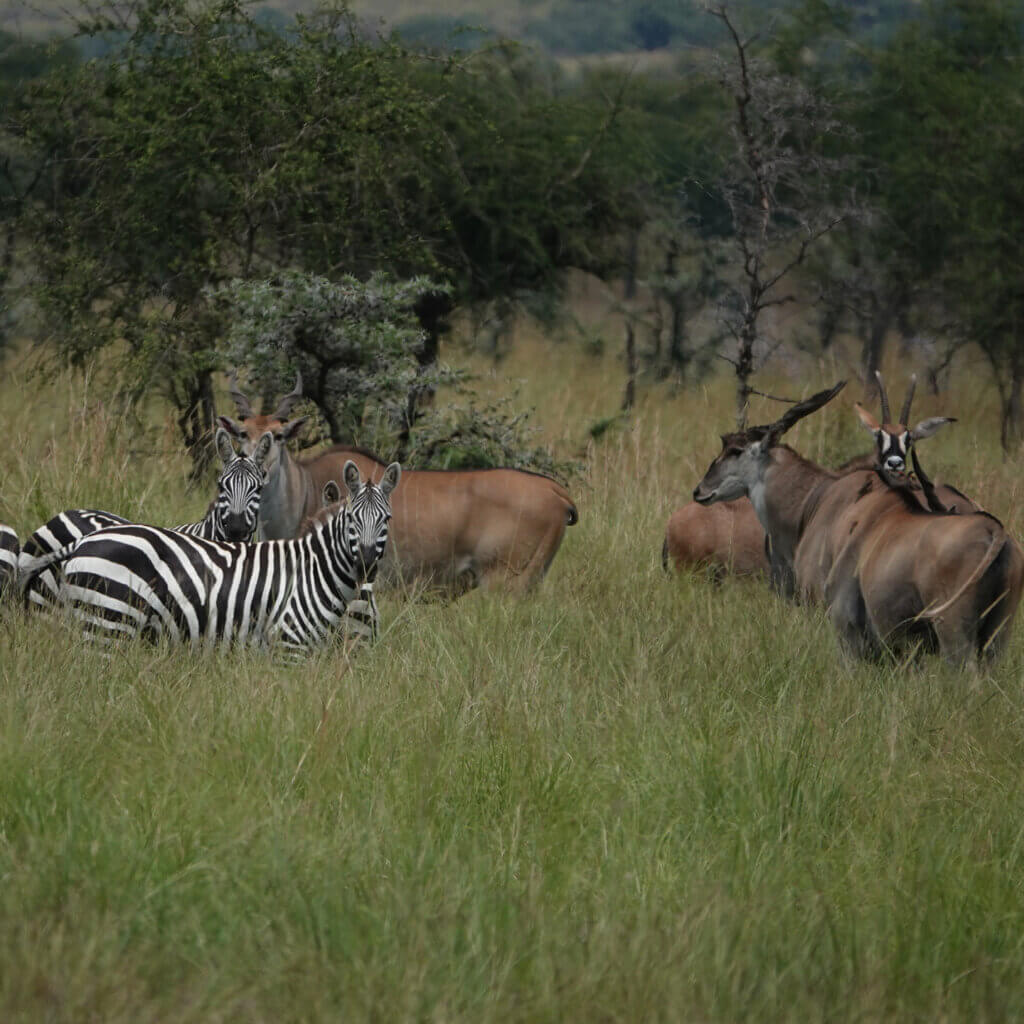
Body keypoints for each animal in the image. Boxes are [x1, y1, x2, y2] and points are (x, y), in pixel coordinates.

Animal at [29, 460, 400, 655]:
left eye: (387, 519)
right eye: (352, 520)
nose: (367, 564)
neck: (313, 571)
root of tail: (85, 539)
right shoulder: (288, 645)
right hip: (105, 623)